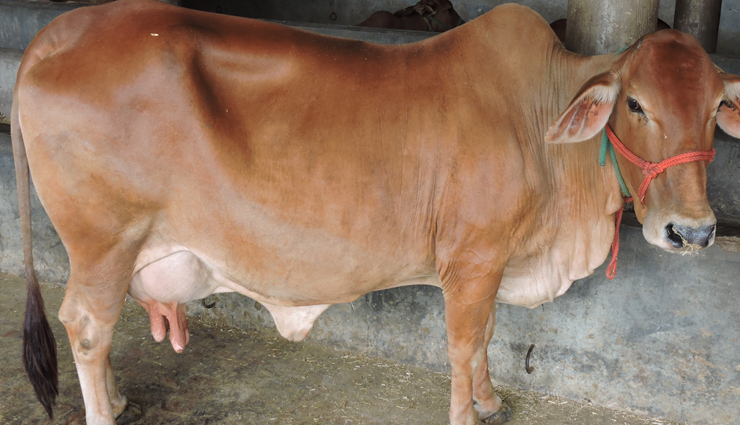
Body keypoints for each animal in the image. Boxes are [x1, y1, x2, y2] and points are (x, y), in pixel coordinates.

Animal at [11, 0, 740, 424]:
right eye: (636, 103)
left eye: (714, 108)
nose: (693, 231)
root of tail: (56, 33)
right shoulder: (471, 258)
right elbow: (463, 342)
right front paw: (468, 412)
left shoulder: (493, 262)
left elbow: (487, 336)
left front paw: (490, 401)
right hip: (104, 240)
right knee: (86, 326)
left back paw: (117, 397)